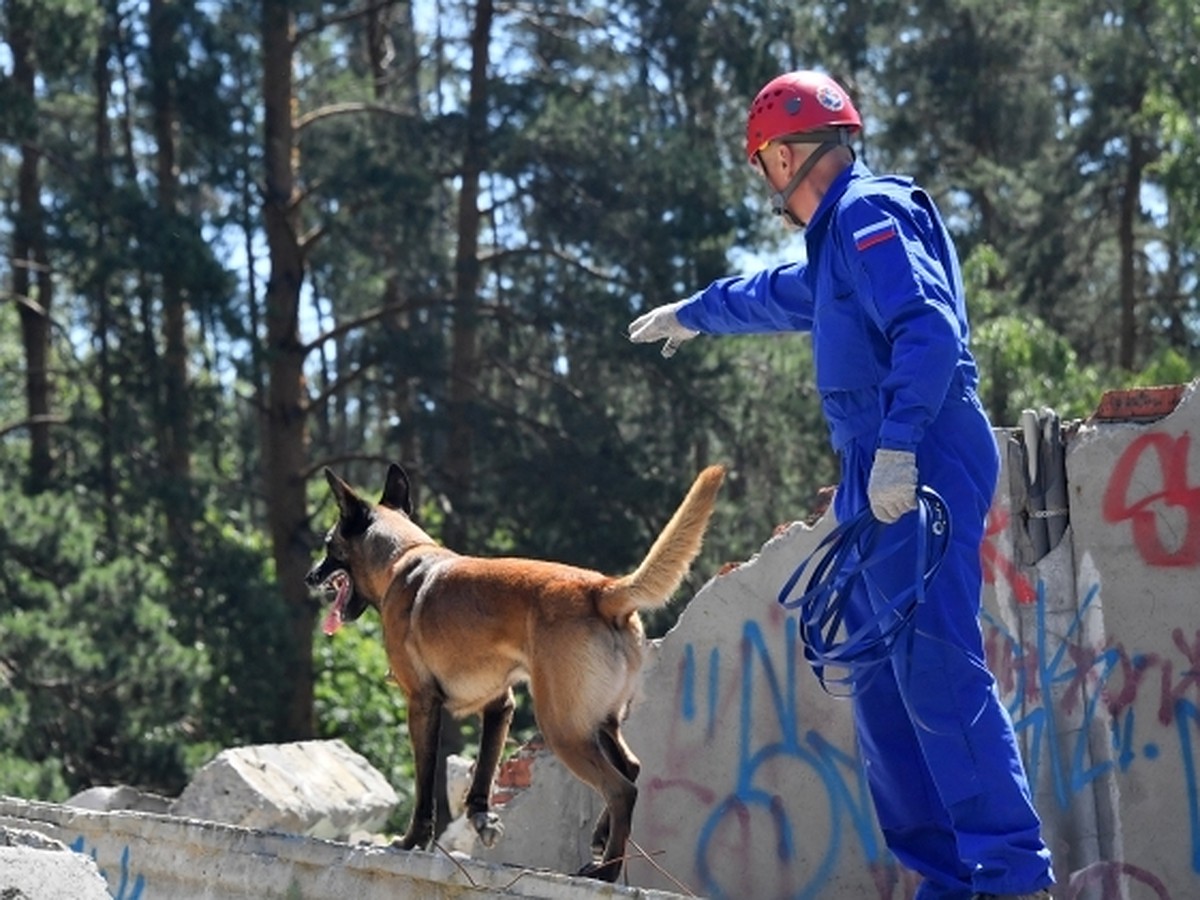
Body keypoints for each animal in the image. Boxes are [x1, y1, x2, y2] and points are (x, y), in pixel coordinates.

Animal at [307, 465, 720, 883]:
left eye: (328, 544)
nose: (310, 576)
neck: (405, 558)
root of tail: (602, 590)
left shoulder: (422, 704)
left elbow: (425, 786)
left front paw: (411, 842)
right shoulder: (499, 705)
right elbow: (485, 771)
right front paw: (481, 818)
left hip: (562, 728)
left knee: (621, 789)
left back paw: (607, 871)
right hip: (598, 721)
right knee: (631, 769)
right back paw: (601, 842)